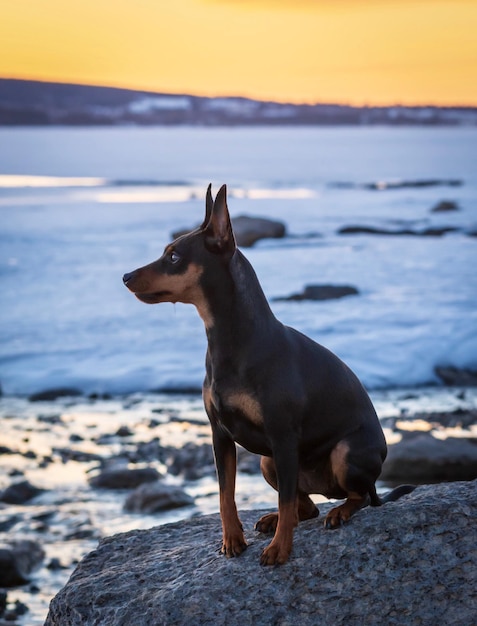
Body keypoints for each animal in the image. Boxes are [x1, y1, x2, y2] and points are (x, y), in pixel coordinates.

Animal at [122, 184, 412, 564]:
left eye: (173, 256)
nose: (125, 276)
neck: (231, 339)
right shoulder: (220, 435)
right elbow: (226, 494)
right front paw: (232, 540)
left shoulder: (283, 435)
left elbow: (283, 500)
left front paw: (279, 549)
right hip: (267, 461)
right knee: (306, 506)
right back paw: (276, 518)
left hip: (342, 453)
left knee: (358, 496)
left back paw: (339, 512)